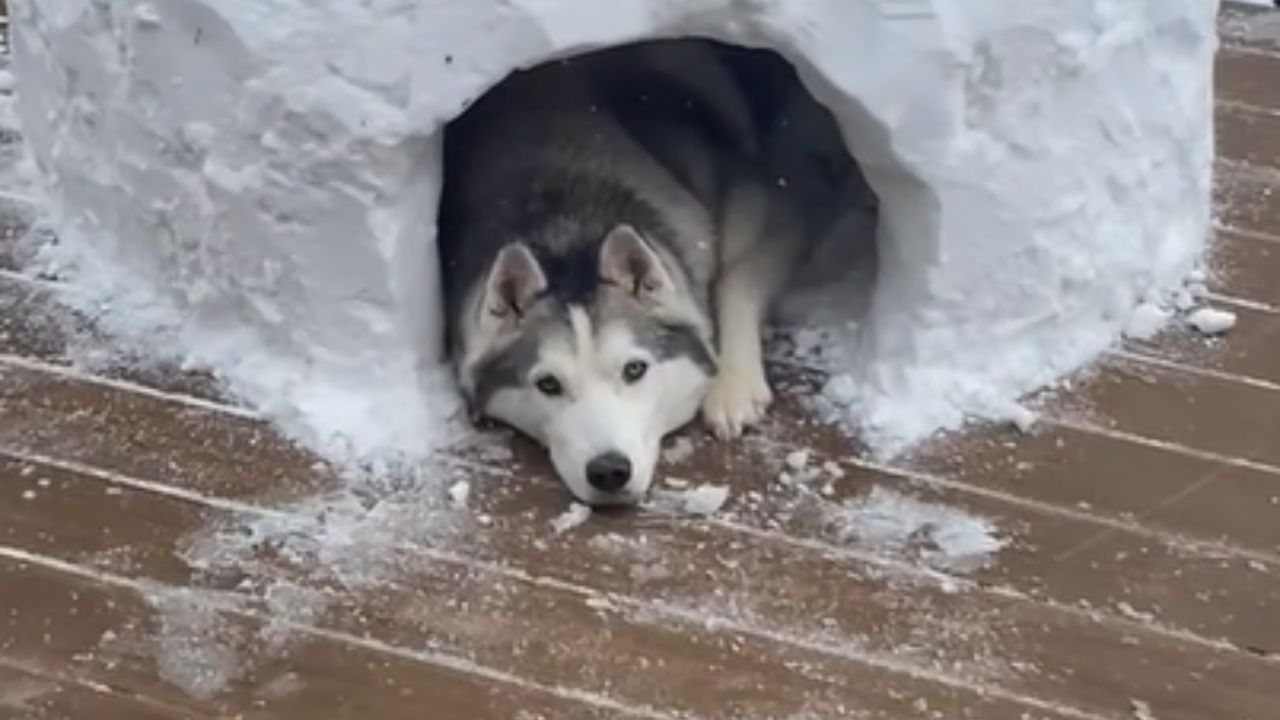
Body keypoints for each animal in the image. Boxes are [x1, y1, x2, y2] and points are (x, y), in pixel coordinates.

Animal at [440, 37, 798, 499]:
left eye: (634, 370)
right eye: (548, 384)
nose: (609, 471)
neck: (568, 227)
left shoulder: (772, 209)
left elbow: (738, 281)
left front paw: (732, 383)